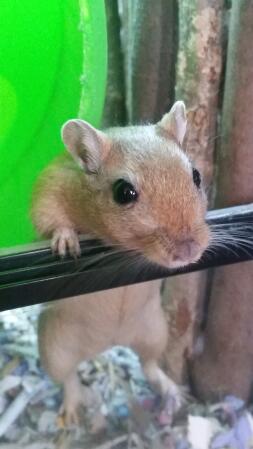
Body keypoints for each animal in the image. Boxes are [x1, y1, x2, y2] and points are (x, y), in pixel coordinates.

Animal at [31, 101, 210, 424]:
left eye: (197, 176)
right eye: (123, 193)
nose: (189, 252)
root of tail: (111, 343)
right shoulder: (50, 188)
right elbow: (52, 220)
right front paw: (67, 244)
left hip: (155, 332)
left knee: (149, 365)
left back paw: (173, 393)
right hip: (53, 350)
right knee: (68, 379)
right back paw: (72, 415)